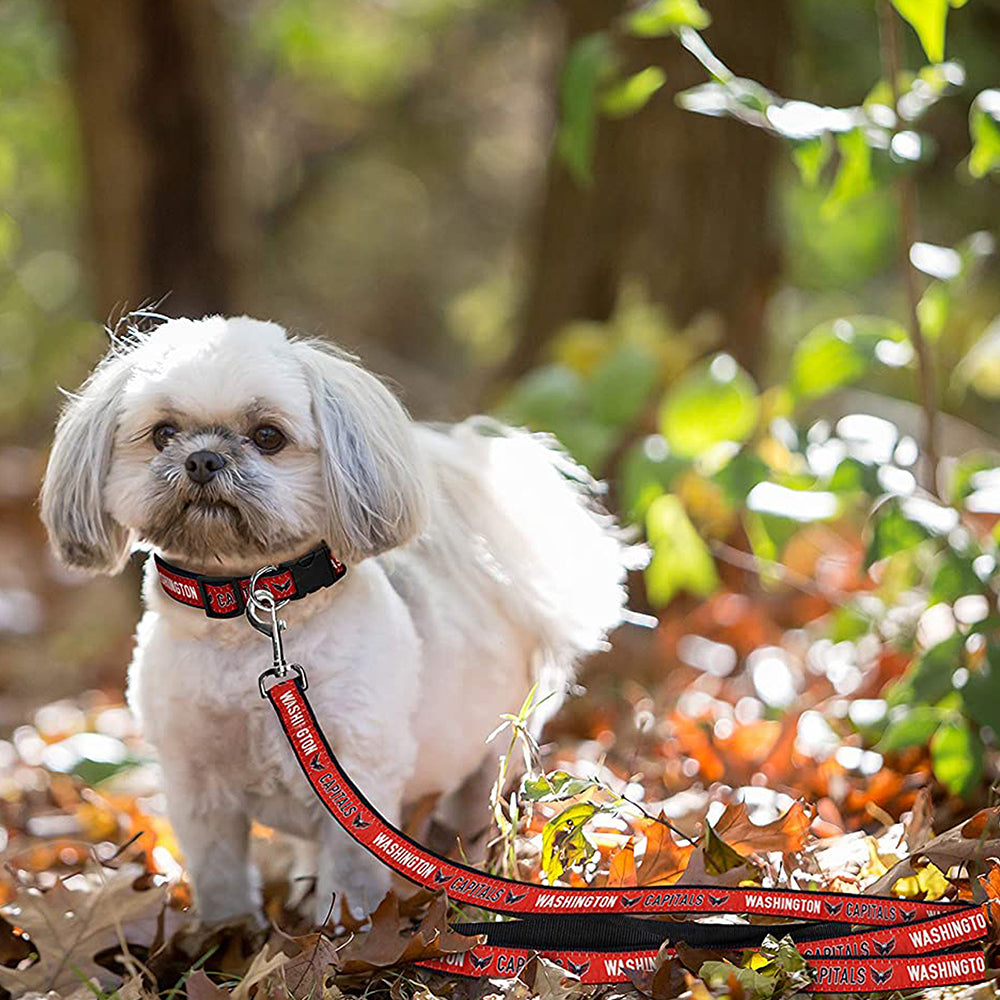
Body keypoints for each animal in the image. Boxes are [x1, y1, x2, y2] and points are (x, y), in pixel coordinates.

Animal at [41, 316, 632, 924]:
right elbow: (219, 875)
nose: (203, 459)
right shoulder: (196, 784)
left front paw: (344, 931)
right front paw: (228, 933)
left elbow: (351, 873)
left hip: (490, 755)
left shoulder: (358, 771)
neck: (249, 608)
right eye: (163, 433)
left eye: (268, 436)